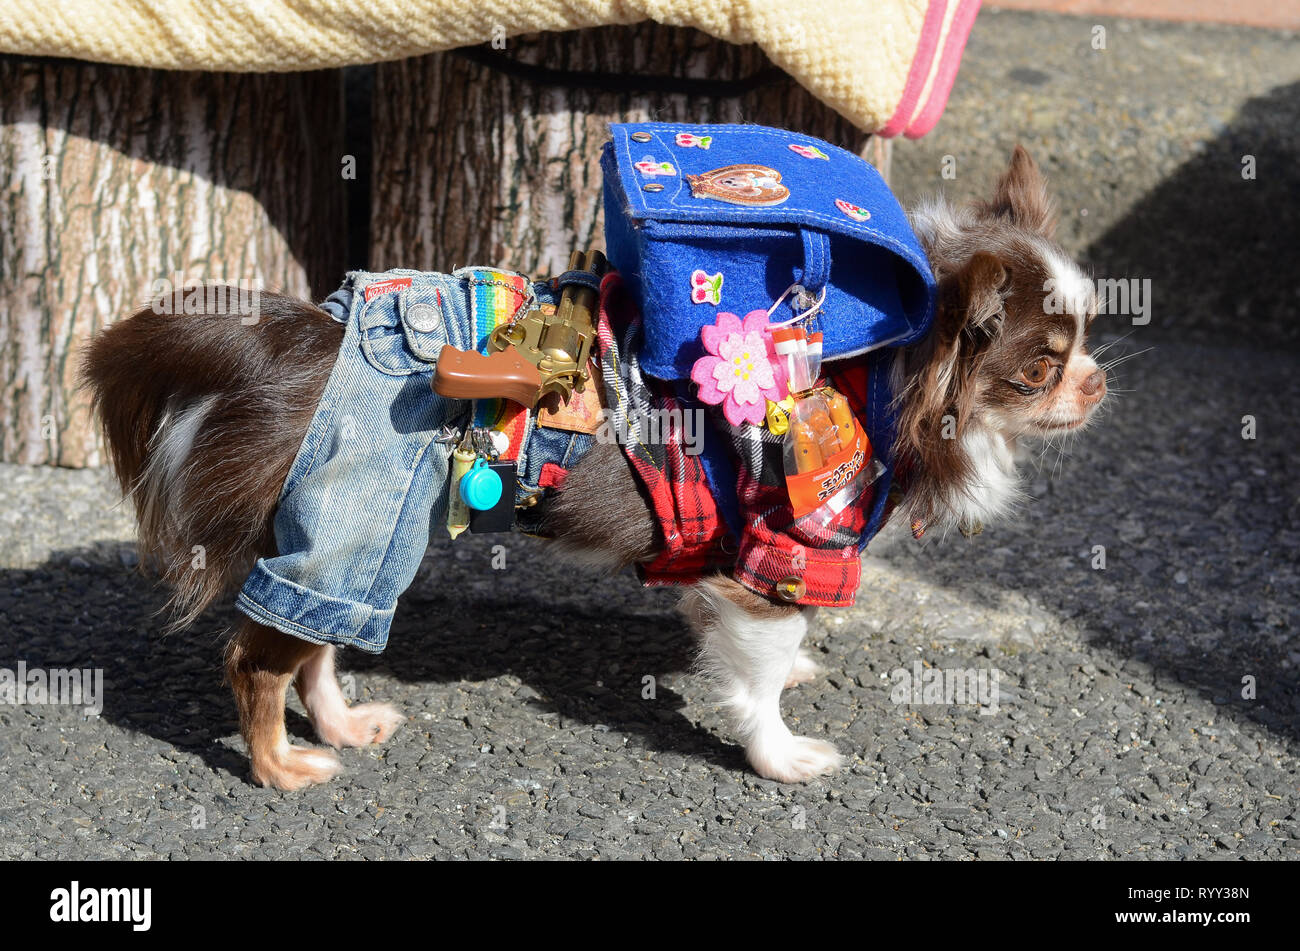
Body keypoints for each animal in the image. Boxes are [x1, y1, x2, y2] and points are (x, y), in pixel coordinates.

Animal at [81, 146, 1102, 789]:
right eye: (1040, 366)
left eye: (1089, 337)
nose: (1098, 382)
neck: (879, 369)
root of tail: (298, 336)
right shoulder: (788, 539)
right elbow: (761, 668)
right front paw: (778, 753)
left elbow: (728, 629)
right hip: (352, 517)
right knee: (259, 658)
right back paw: (280, 767)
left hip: (359, 527)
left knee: (315, 642)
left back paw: (339, 724)